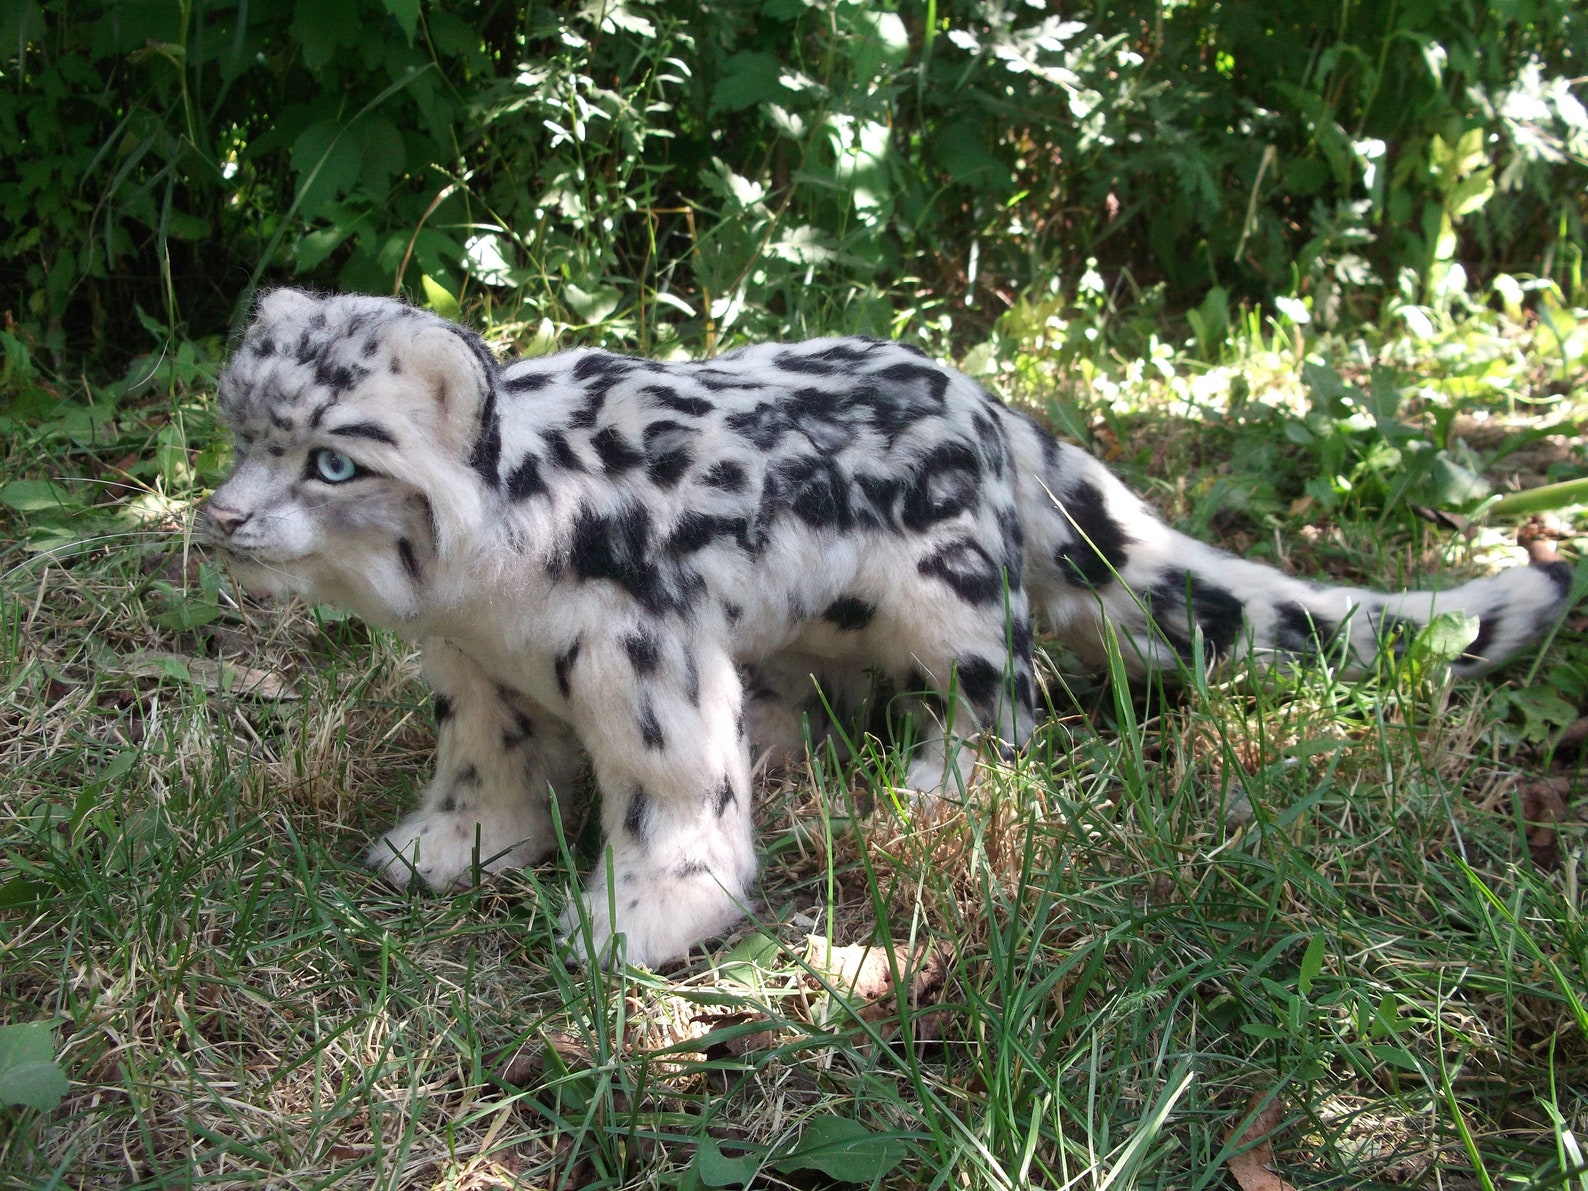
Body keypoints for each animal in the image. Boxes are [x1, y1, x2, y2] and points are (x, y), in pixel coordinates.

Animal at [199, 288, 1574, 967]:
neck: (472, 603)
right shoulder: (472, 674)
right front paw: (448, 850)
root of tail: (993, 406)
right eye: (239, 431)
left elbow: (673, 796)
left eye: (332, 460)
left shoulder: (646, 664)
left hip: (952, 602)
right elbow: (483, 768)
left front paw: (640, 921)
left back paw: (941, 789)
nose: (219, 518)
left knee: (1000, 703)